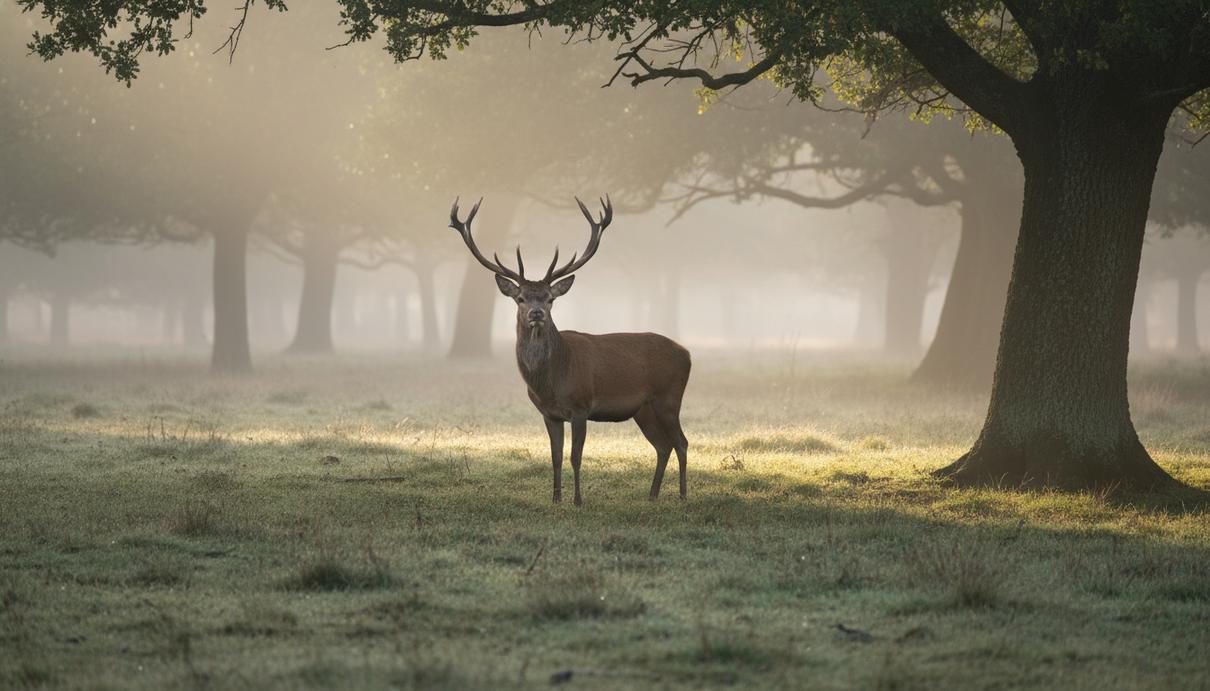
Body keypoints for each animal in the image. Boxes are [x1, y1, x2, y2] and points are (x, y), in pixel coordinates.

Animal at [446, 196, 691, 506]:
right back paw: (652, 495)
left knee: (681, 442)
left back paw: (682, 495)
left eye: (550, 298)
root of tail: (687, 353)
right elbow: (556, 457)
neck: (551, 382)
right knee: (662, 445)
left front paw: (577, 500)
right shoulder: (549, 414)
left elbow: (576, 457)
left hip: (669, 397)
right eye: (520, 298)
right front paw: (555, 499)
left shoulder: (581, 406)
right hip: (643, 409)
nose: (537, 313)